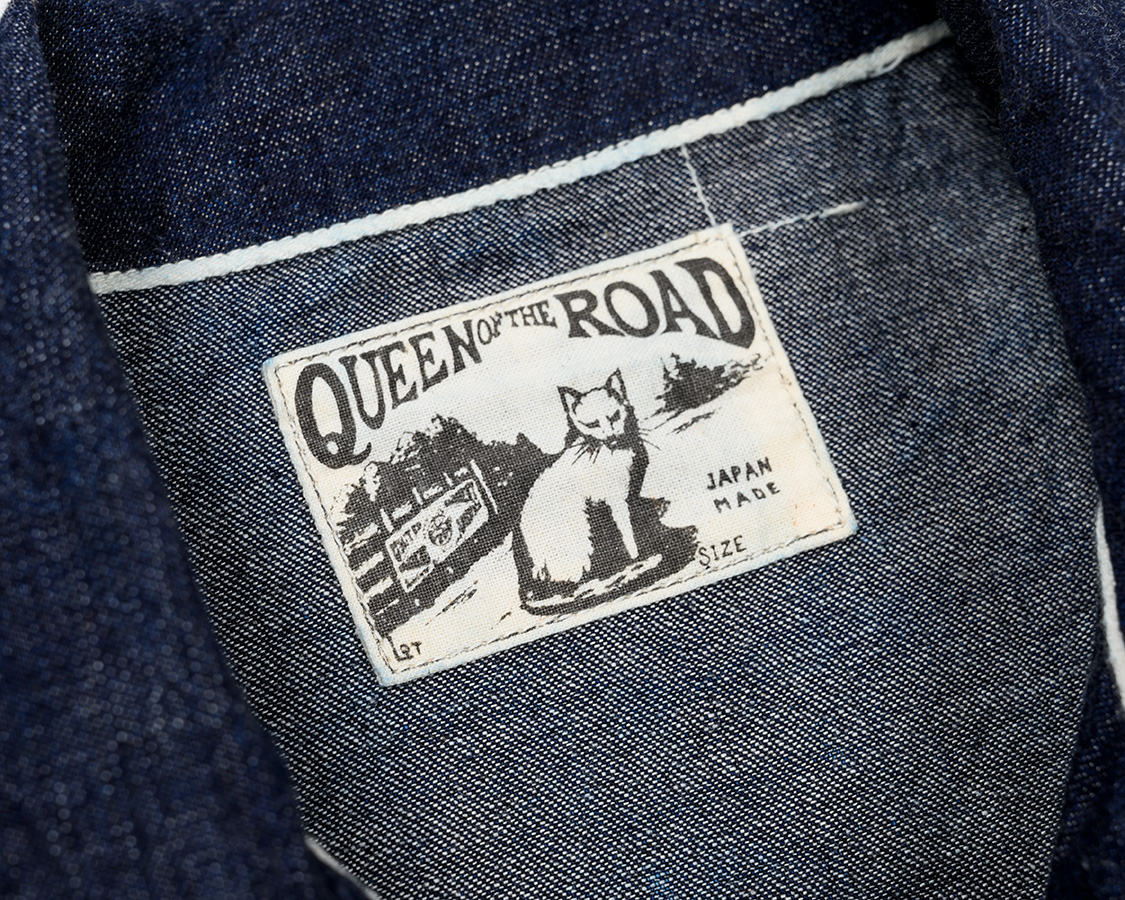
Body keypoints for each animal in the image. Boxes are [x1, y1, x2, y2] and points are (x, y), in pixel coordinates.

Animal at [516, 369, 648, 595]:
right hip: (580, 536)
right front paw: (635, 553)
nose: (612, 438)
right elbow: (626, 529)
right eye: (593, 424)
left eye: (615, 416)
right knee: (576, 574)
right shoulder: (614, 498)